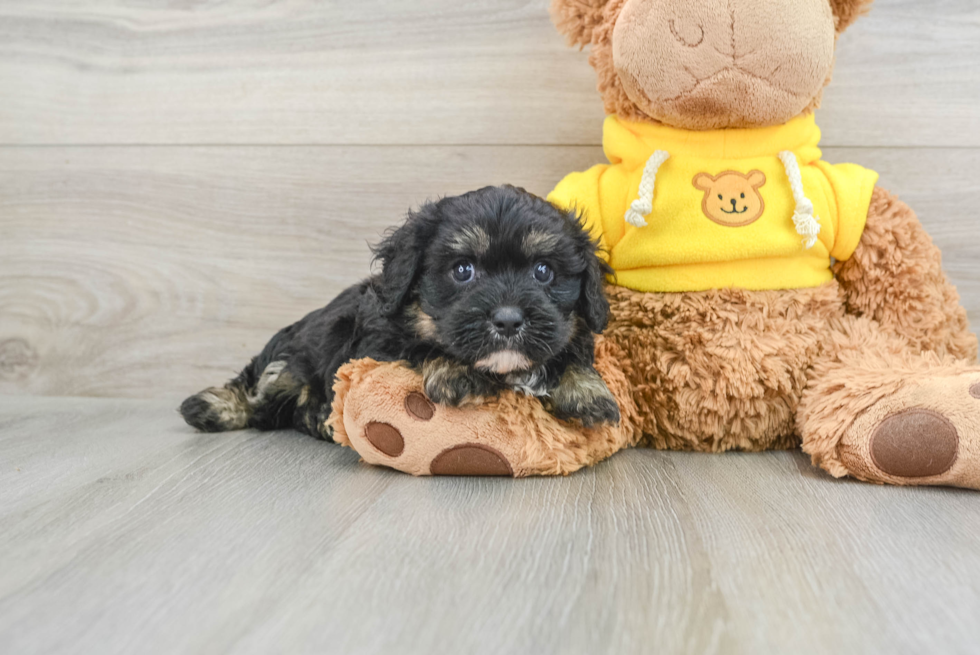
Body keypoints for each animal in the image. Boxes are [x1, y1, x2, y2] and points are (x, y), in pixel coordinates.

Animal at [180, 184, 616, 440]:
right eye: (462, 270)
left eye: (544, 271)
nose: (508, 319)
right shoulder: (376, 343)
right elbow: (421, 347)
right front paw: (455, 371)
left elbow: (570, 351)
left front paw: (588, 391)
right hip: (289, 356)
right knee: (260, 386)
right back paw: (212, 407)